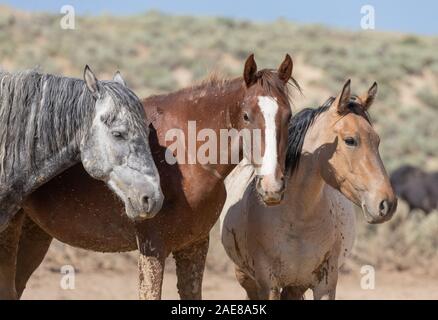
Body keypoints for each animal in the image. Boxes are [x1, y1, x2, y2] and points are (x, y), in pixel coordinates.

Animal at [222, 80, 396, 300]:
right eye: (350, 140)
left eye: (377, 140)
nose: (387, 204)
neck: (299, 218)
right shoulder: (268, 285)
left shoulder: (325, 284)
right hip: (247, 278)